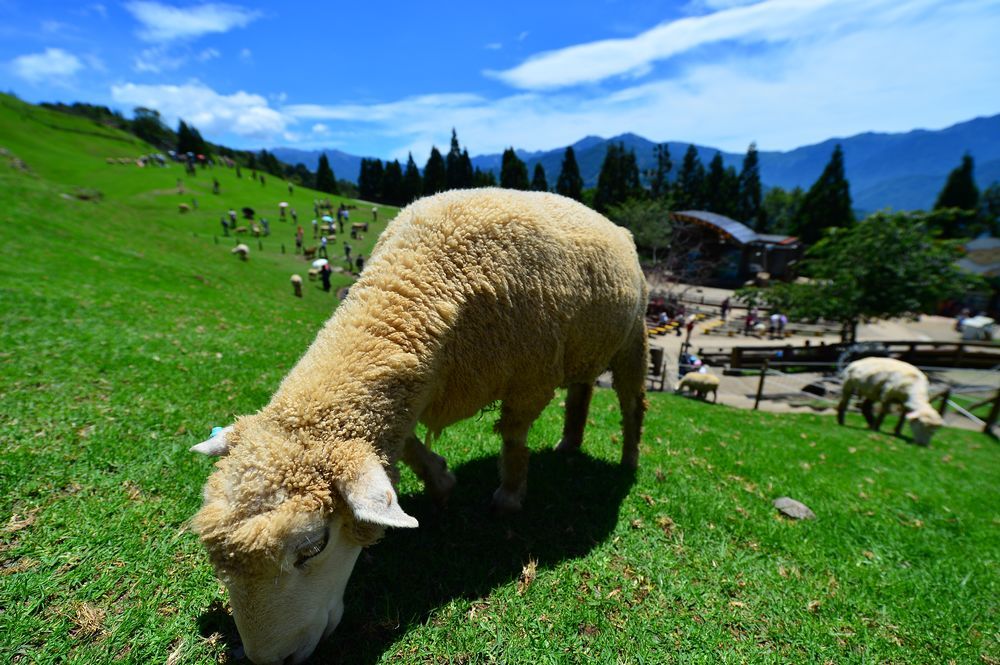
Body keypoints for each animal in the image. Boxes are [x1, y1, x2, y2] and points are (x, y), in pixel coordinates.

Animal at [189, 188, 648, 664]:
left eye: (313, 547)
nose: (270, 659)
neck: (423, 279)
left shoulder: (531, 379)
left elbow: (514, 438)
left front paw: (508, 495)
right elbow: (406, 444)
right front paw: (441, 483)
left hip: (633, 337)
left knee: (632, 404)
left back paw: (629, 457)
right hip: (589, 346)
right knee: (582, 391)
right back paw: (569, 443)